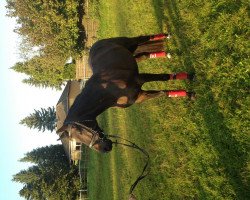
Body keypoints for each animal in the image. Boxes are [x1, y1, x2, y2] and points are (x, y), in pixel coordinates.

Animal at [57, 34, 195, 153]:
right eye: (77, 141)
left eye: (80, 132)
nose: (105, 148)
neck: (108, 90)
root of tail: (96, 43)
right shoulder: (140, 96)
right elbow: (162, 93)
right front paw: (187, 93)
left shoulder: (140, 79)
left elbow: (165, 77)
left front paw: (189, 79)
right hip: (132, 54)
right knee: (145, 55)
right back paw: (165, 53)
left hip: (131, 43)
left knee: (144, 38)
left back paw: (166, 36)